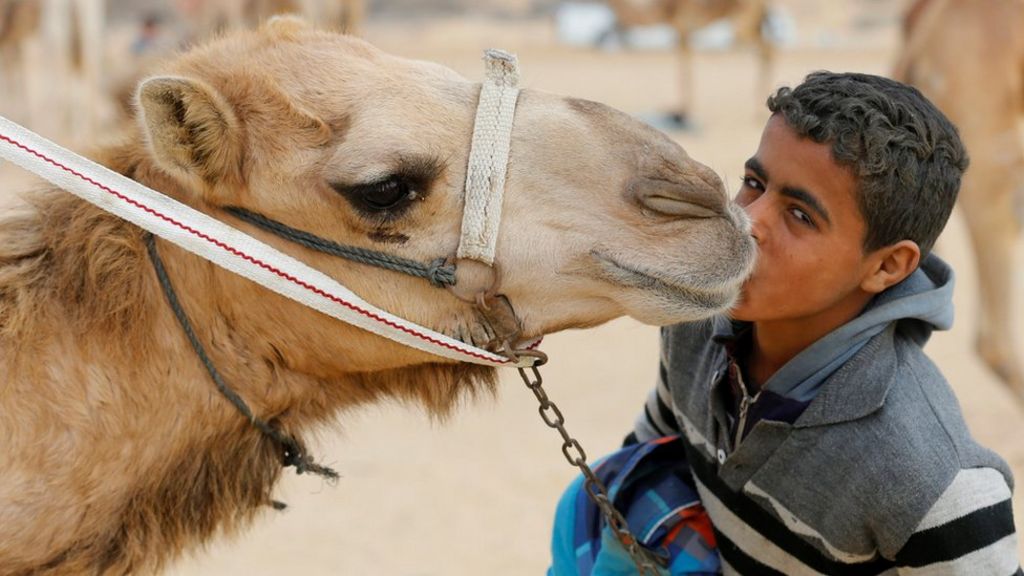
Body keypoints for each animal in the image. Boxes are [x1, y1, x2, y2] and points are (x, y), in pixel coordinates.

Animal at [605, 0, 775, 127]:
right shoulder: (681, 31)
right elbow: (685, 64)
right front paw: (682, 110)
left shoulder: (682, 28)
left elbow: (685, 67)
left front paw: (684, 112)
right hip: (753, 23)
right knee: (765, 51)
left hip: (743, 24)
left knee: (767, 50)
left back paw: (760, 111)